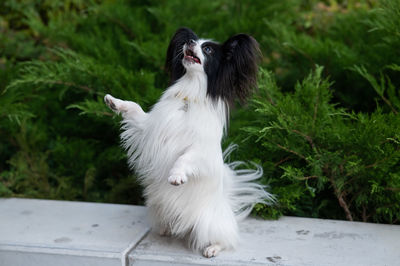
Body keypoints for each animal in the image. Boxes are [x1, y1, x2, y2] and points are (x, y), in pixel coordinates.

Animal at [103, 27, 274, 258]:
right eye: (193, 40)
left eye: (208, 49)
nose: (190, 42)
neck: (188, 97)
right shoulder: (148, 131)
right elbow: (135, 108)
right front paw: (115, 102)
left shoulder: (200, 152)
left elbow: (184, 158)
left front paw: (176, 176)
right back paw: (166, 229)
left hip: (207, 223)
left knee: (226, 240)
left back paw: (212, 248)